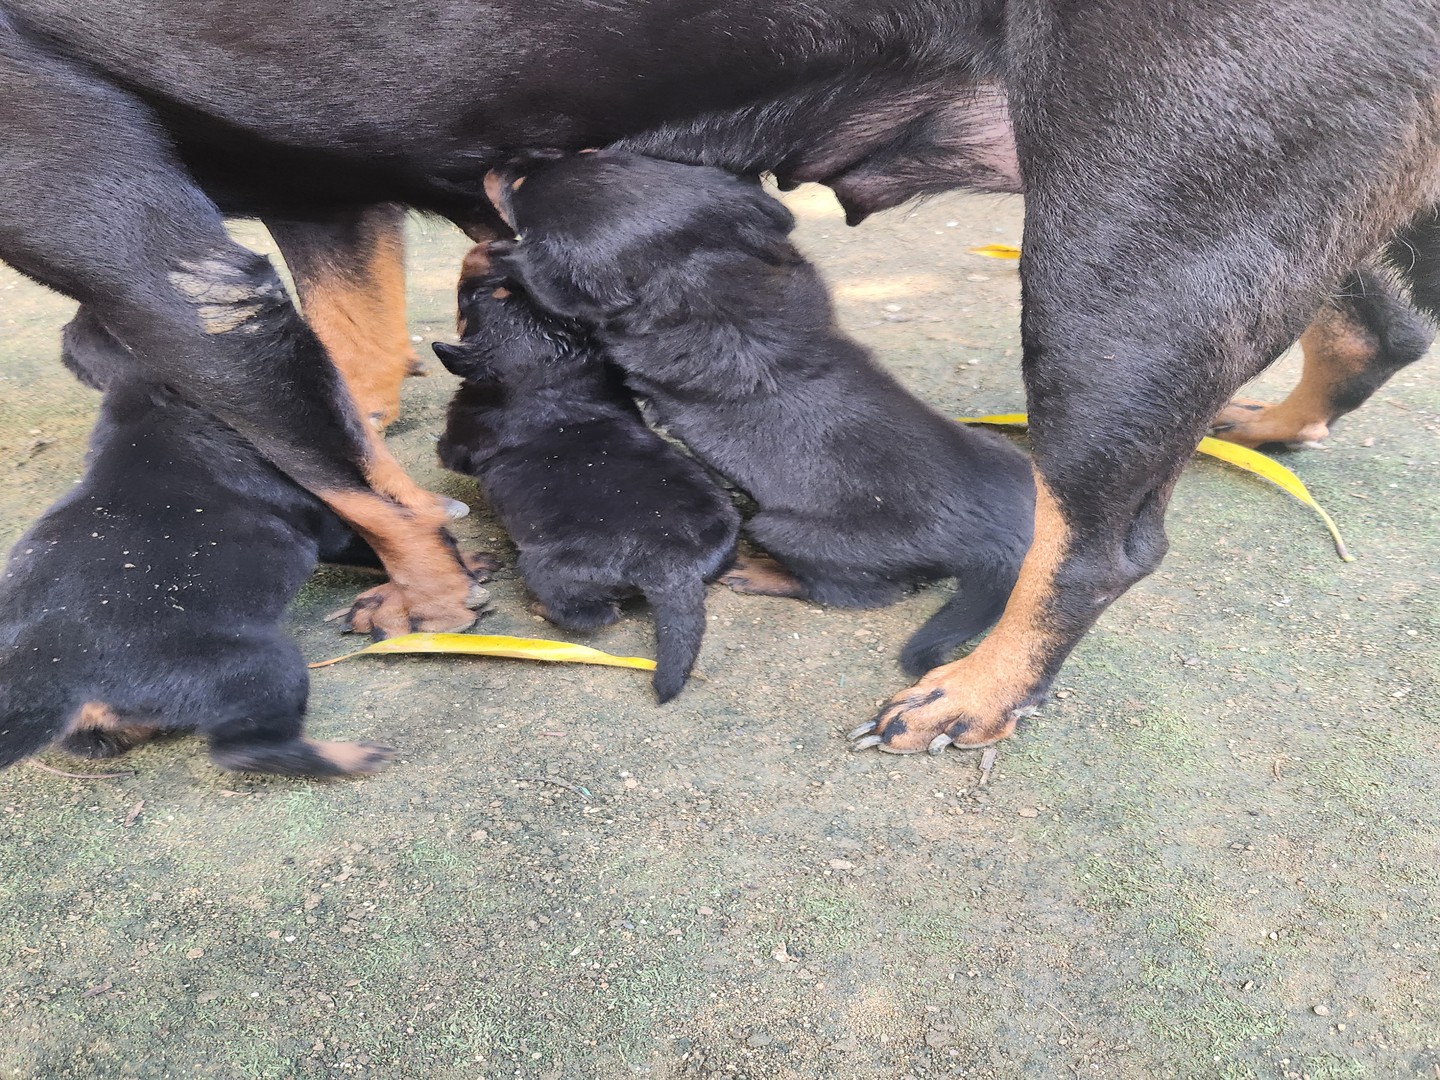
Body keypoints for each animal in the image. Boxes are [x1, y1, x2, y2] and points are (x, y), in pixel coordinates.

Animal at [0, 312, 400, 777]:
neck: (150, 402)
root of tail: (50, 675)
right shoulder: (326, 524)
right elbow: (369, 545)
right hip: (259, 664)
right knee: (243, 749)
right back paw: (352, 756)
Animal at [432, 244, 737, 702]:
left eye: (486, 296)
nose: (494, 251)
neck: (552, 381)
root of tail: (673, 564)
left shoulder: (459, 436)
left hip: (545, 567)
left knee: (591, 614)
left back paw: (543, 608)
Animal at [483, 151, 1036, 676]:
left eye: (517, 191)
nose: (494, 165)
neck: (699, 272)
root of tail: (998, 539)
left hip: (785, 531)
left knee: (855, 591)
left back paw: (763, 574)